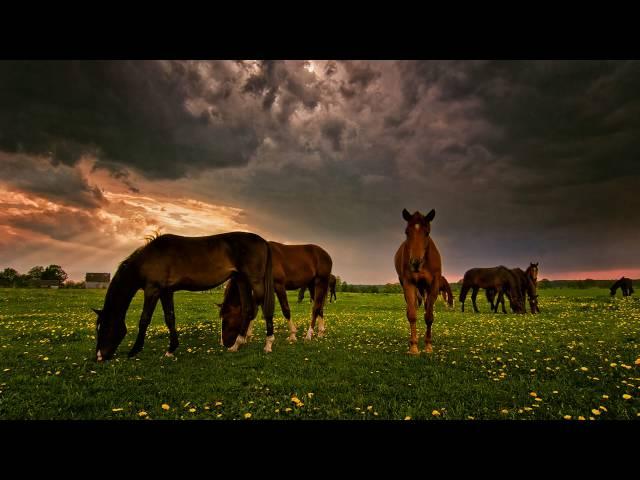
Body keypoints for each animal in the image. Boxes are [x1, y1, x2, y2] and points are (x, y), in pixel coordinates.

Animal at [93, 232, 276, 360]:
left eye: (105, 328)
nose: (99, 357)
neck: (148, 259)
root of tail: (263, 242)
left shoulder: (152, 290)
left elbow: (144, 319)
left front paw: (134, 350)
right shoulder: (166, 291)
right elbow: (170, 318)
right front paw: (171, 349)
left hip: (255, 281)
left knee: (265, 309)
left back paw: (268, 345)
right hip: (241, 280)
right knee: (248, 309)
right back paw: (236, 345)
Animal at [392, 208, 442, 354]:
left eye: (427, 233)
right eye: (407, 232)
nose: (415, 263)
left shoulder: (434, 286)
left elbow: (429, 316)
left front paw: (428, 346)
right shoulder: (409, 284)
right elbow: (412, 314)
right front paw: (414, 347)